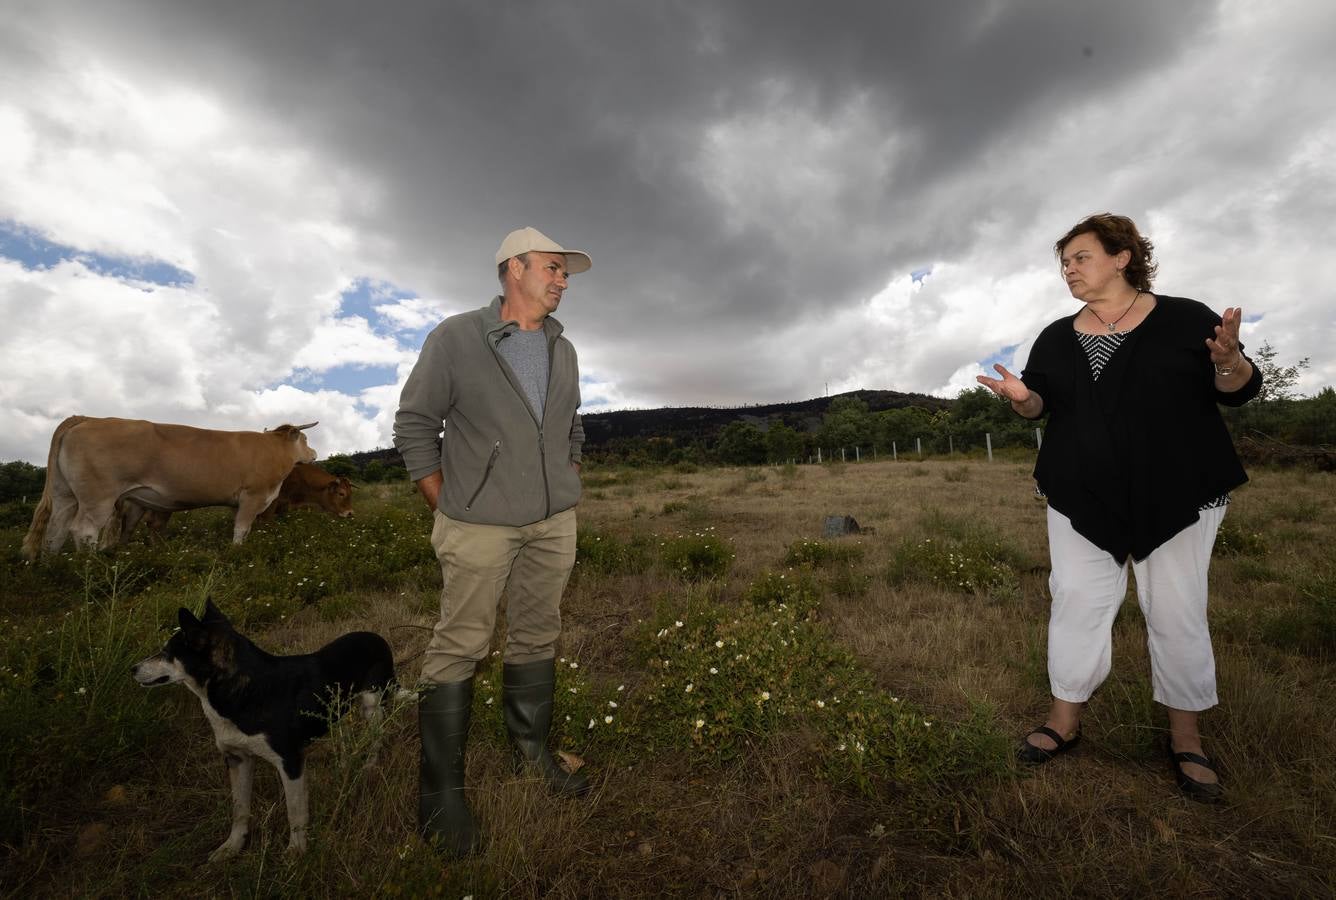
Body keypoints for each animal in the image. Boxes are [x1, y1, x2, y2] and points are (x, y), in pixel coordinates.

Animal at [21, 416, 317, 558]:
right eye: (305, 439)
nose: (313, 453)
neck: (273, 450)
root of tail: (88, 418)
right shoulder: (252, 496)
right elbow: (241, 530)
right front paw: (237, 553)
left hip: (64, 494)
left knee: (55, 530)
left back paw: (52, 567)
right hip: (98, 497)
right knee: (83, 530)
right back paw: (90, 568)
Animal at [132, 595, 392, 854]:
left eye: (166, 652)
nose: (132, 668)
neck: (243, 691)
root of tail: (377, 637)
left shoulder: (290, 761)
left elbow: (295, 813)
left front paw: (296, 852)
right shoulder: (237, 758)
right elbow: (239, 809)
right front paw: (232, 846)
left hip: (372, 704)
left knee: (377, 738)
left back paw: (369, 767)